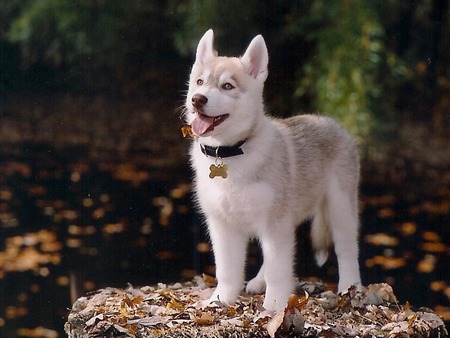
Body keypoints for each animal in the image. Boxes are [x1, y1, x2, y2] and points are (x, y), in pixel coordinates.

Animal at [184, 29, 362, 312]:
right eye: (199, 81)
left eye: (227, 86)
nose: (197, 100)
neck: (229, 153)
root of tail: (332, 121)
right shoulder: (222, 224)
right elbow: (227, 270)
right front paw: (220, 300)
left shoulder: (275, 222)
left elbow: (280, 270)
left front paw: (274, 308)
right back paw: (259, 280)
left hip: (339, 206)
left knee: (347, 248)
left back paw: (350, 287)